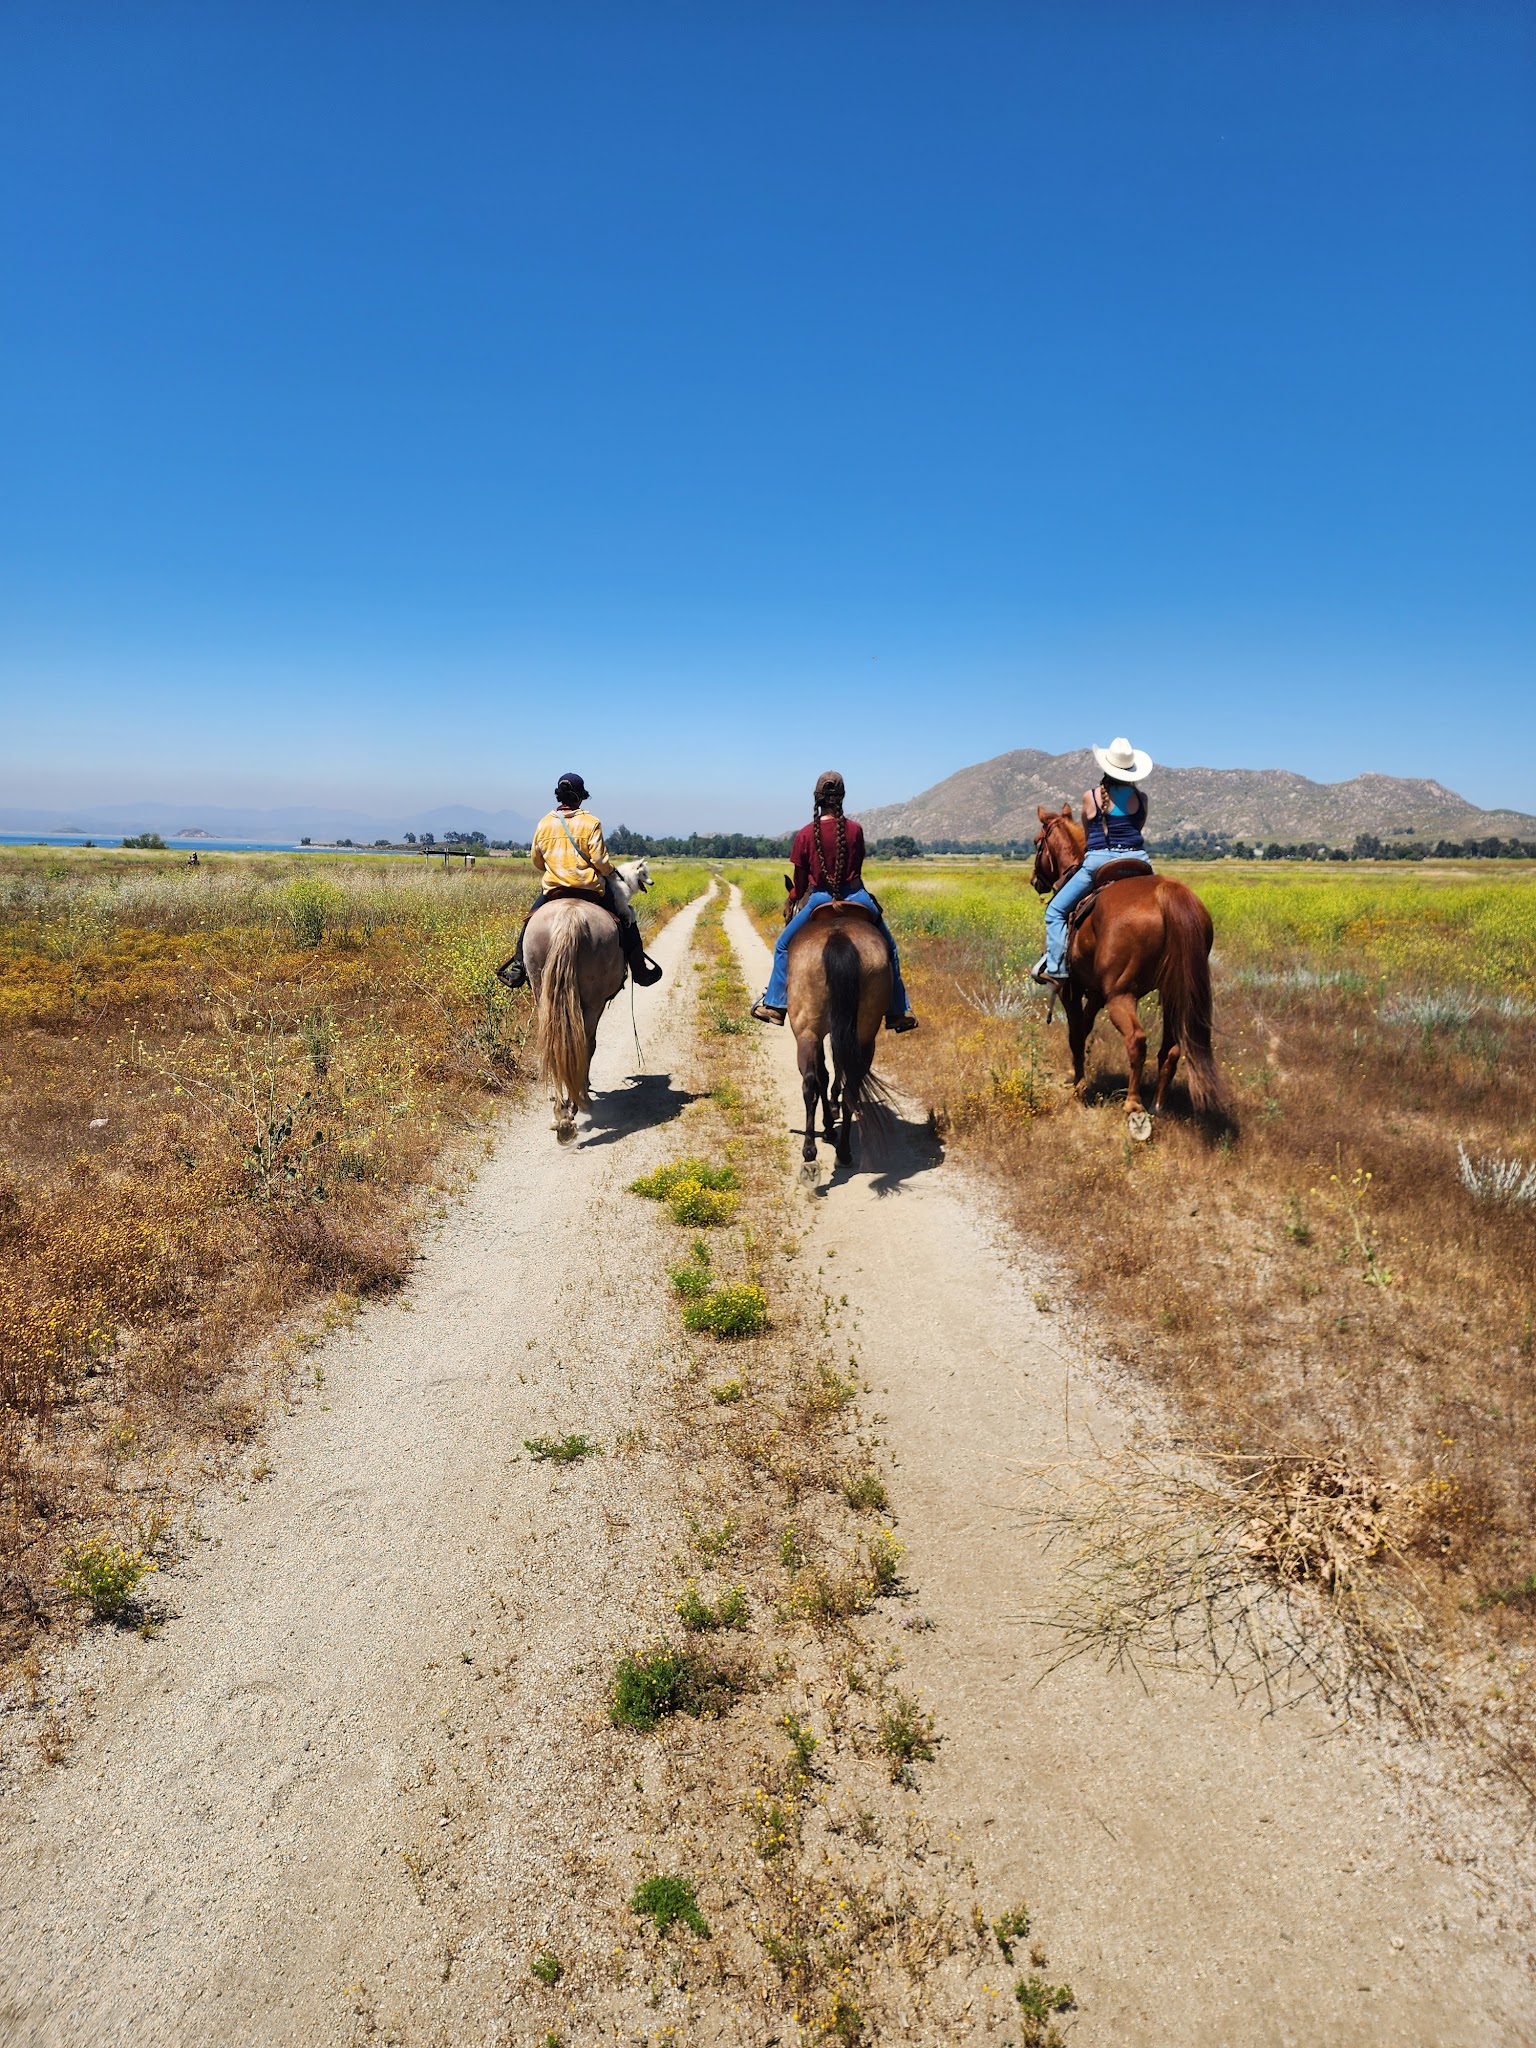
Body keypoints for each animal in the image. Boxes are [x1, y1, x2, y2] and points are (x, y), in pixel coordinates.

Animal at [523, 858, 651, 1143]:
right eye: (645, 873)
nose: (652, 882)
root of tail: (569, 917)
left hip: (543, 994)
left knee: (555, 1044)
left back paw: (560, 1114)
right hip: (593, 1003)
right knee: (584, 1044)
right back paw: (576, 1107)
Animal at [783, 894, 891, 1166]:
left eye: (785, 911)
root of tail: (839, 937)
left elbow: (825, 1073)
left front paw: (828, 1122)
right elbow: (836, 1068)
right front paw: (832, 1113)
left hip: (807, 1033)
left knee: (812, 1082)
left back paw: (813, 1148)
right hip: (864, 1036)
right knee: (850, 1087)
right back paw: (842, 1151)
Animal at [1032, 806, 1219, 1124]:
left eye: (1037, 843)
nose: (1035, 880)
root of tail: (1166, 893)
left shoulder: (1072, 989)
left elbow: (1075, 1033)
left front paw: (1078, 1084)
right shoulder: (1096, 994)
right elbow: (1084, 1028)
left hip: (1120, 996)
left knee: (1137, 1039)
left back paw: (1133, 1104)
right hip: (1172, 993)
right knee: (1171, 1048)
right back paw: (1157, 1104)